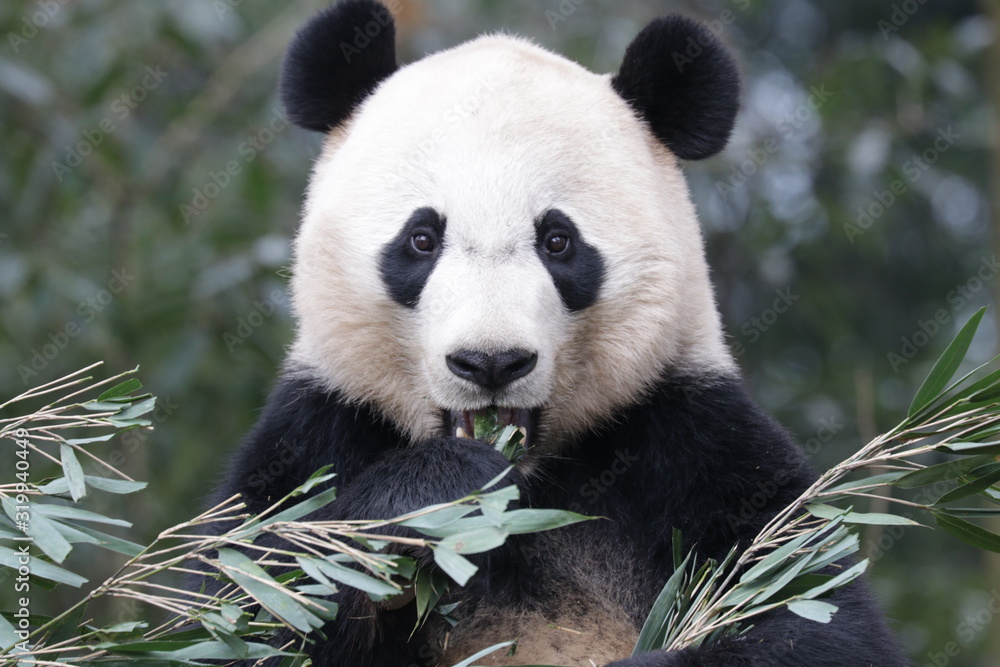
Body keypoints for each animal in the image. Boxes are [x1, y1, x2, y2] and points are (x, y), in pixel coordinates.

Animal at [201, 1, 909, 665]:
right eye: (422, 238)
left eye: (558, 241)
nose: (490, 363)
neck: (533, 482)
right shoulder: (319, 430)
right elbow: (252, 598)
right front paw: (439, 494)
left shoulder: (694, 437)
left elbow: (811, 614)